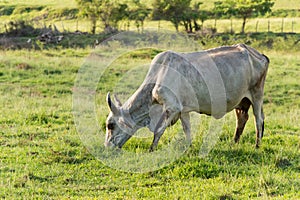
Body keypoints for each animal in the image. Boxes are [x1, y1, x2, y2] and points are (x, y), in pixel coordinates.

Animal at [104, 43, 268, 152]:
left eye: (110, 125)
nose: (106, 146)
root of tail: (259, 54)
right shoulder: (183, 110)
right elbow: (187, 130)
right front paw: (189, 148)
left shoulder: (172, 107)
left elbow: (158, 130)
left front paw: (151, 150)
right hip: (241, 101)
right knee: (242, 118)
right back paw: (234, 143)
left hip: (257, 95)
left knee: (259, 119)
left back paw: (257, 145)